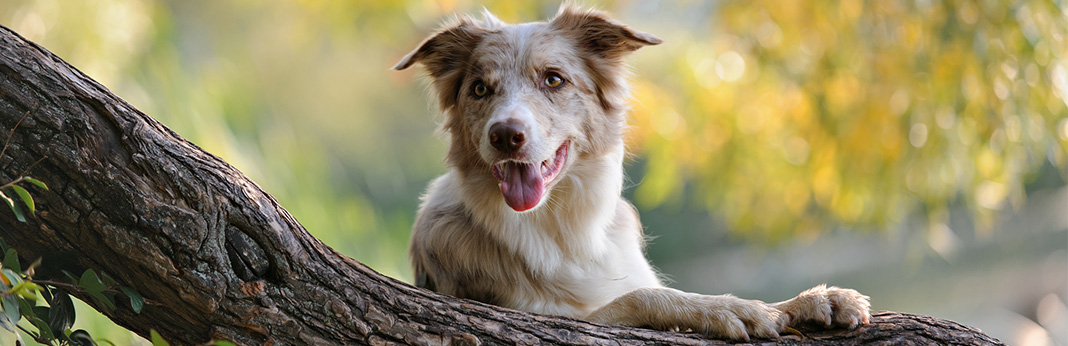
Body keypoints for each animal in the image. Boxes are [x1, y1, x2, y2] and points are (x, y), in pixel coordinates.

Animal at [397, 4, 871, 339]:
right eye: (480, 89)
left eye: (553, 80)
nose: (504, 136)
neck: (562, 226)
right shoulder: (545, 318)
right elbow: (643, 295)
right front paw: (729, 309)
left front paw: (815, 301)